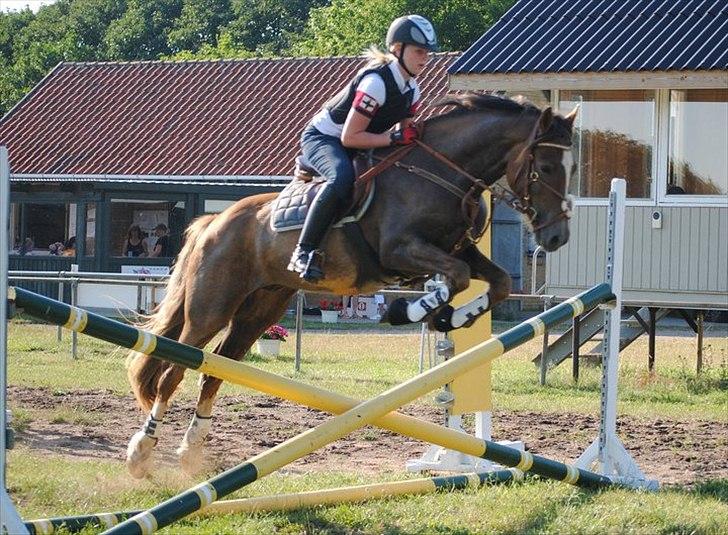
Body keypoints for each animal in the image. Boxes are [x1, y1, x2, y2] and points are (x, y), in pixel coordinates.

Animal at [128, 94, 576, 480]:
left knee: (213, 371)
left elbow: (494, 283)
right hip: (212, 306)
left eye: (569, 167)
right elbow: (457, 278)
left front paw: (451, 317)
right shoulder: (401, 250)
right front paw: (409, 312)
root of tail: (213, 222)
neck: (441, 174)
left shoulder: (458, 249)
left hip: (259, 310)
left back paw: (190, 452)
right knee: (172, 371)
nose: (557, 238)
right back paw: (142, 452)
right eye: (547, 165)